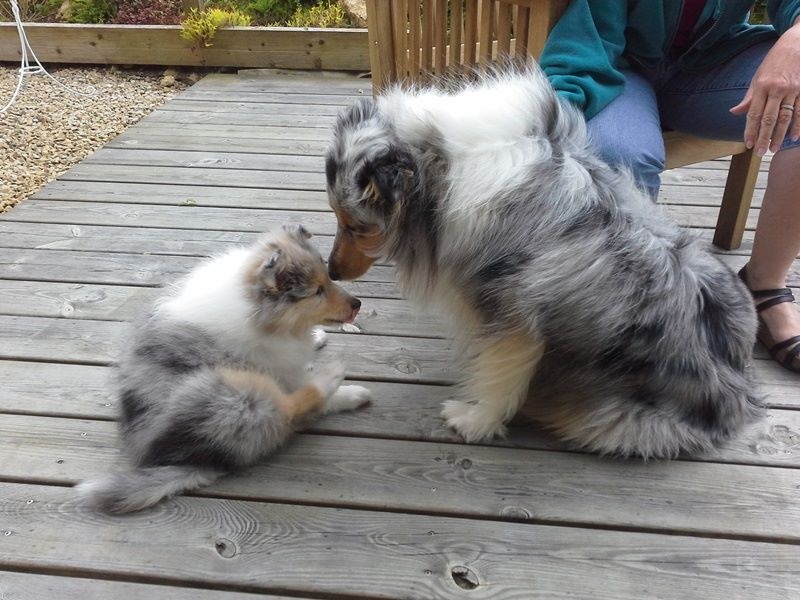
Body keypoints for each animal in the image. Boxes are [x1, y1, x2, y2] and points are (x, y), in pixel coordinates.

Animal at [76, 224, 370, 513]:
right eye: (316, 291)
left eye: (328, 279)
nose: (357, 304)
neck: (257, 311)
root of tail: (192, 459)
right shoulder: (283, 371)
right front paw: (339, 382)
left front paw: (317, 337)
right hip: (229, 396)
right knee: (286, 414)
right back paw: (334, 377)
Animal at [324, 62, 761, 459]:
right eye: (338, 218)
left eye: (356, 226)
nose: (331, 271)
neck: (443, 165)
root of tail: (737, 396)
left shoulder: (513, 310)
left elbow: (502, 373)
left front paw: (475, 420)